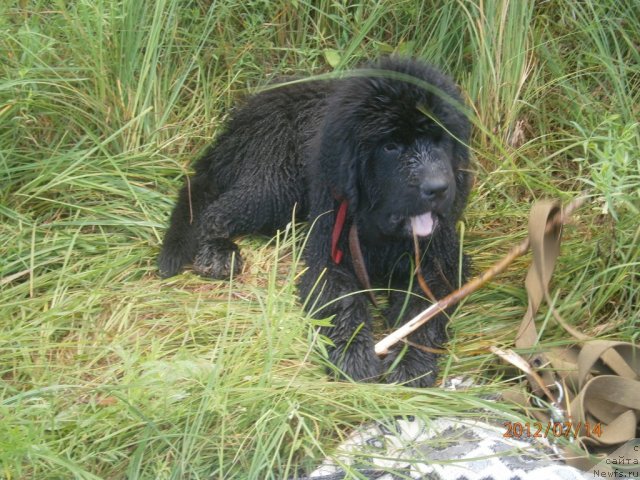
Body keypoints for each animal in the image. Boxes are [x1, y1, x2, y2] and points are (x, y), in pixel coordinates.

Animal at [158, 57, 472, 386]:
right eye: (390, 146)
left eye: (439, 140)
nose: (438, 189)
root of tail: (247, 112)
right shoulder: (328, 256)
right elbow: (343, 303)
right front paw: (353, 356)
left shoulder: (440, 264)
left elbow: (425, 312)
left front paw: (410, 364)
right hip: (275, 184)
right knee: (216, 213)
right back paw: (218, 255)